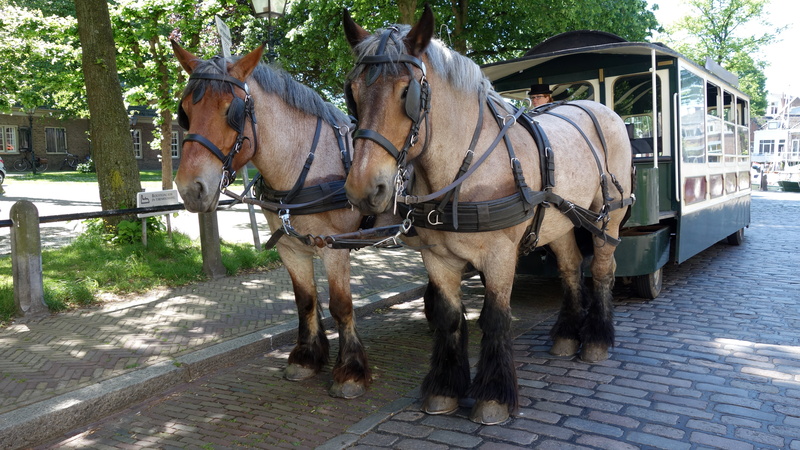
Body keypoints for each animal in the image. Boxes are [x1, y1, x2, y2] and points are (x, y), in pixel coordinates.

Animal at [172, 41, 380, 399]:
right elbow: (305, 301)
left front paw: (350, 372)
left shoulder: (334, 248)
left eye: (231, 110)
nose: (191, 189)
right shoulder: (291, 248)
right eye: (184, 110)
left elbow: (341, 306)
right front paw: (306, 358)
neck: (306, 165)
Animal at [342, 6, 634, 424]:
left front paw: (493, 397)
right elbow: (450, 318)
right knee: (570, 268)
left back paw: (596, 340)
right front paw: (444, 389)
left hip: (606, 218)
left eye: (406, 92)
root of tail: (603, 110)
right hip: (561, 220)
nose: (363, 190)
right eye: (352, 92)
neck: (463, 169)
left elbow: (496, 318)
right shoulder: (437, 258)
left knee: (601, 271)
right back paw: (566, 336)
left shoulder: (499, 255)